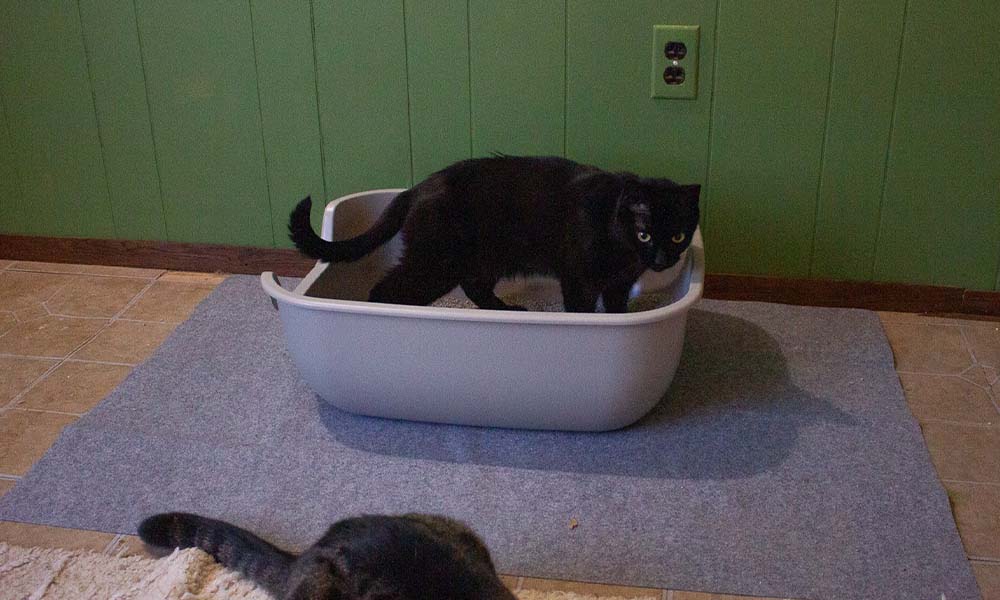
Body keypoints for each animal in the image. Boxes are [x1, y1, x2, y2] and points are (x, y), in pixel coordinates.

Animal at [290, 154, 696, 314]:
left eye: (678, 237)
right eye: (645, 234)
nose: (662, 259)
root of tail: (417, 188)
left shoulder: (618, 285)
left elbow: (616, 311)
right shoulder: (578, 278)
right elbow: (582, 310)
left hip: (484, 260)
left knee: (476, 288)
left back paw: (506, 310)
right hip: (436, 264)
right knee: (385, 290)